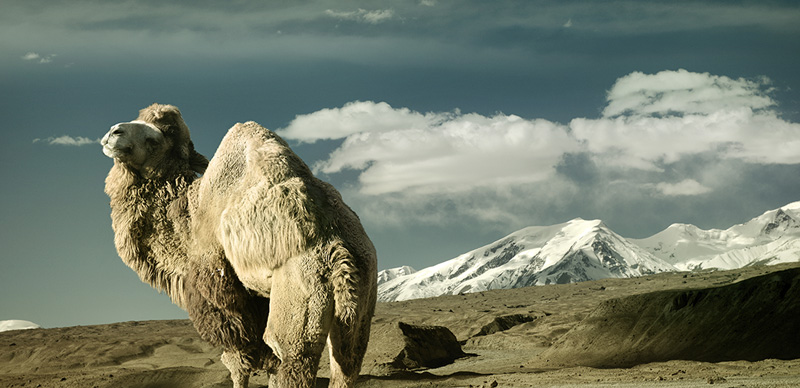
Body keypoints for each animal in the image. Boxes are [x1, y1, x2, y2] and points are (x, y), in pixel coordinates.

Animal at [101, 104, 376, 388]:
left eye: (154, 140)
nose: (114, 132)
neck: (189, 211)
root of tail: (340, 254)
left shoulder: (218, 280)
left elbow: (238, 359)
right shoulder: (259, 295)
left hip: (301, 296)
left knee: (291, 358)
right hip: (359, 307)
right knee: (346, 362)